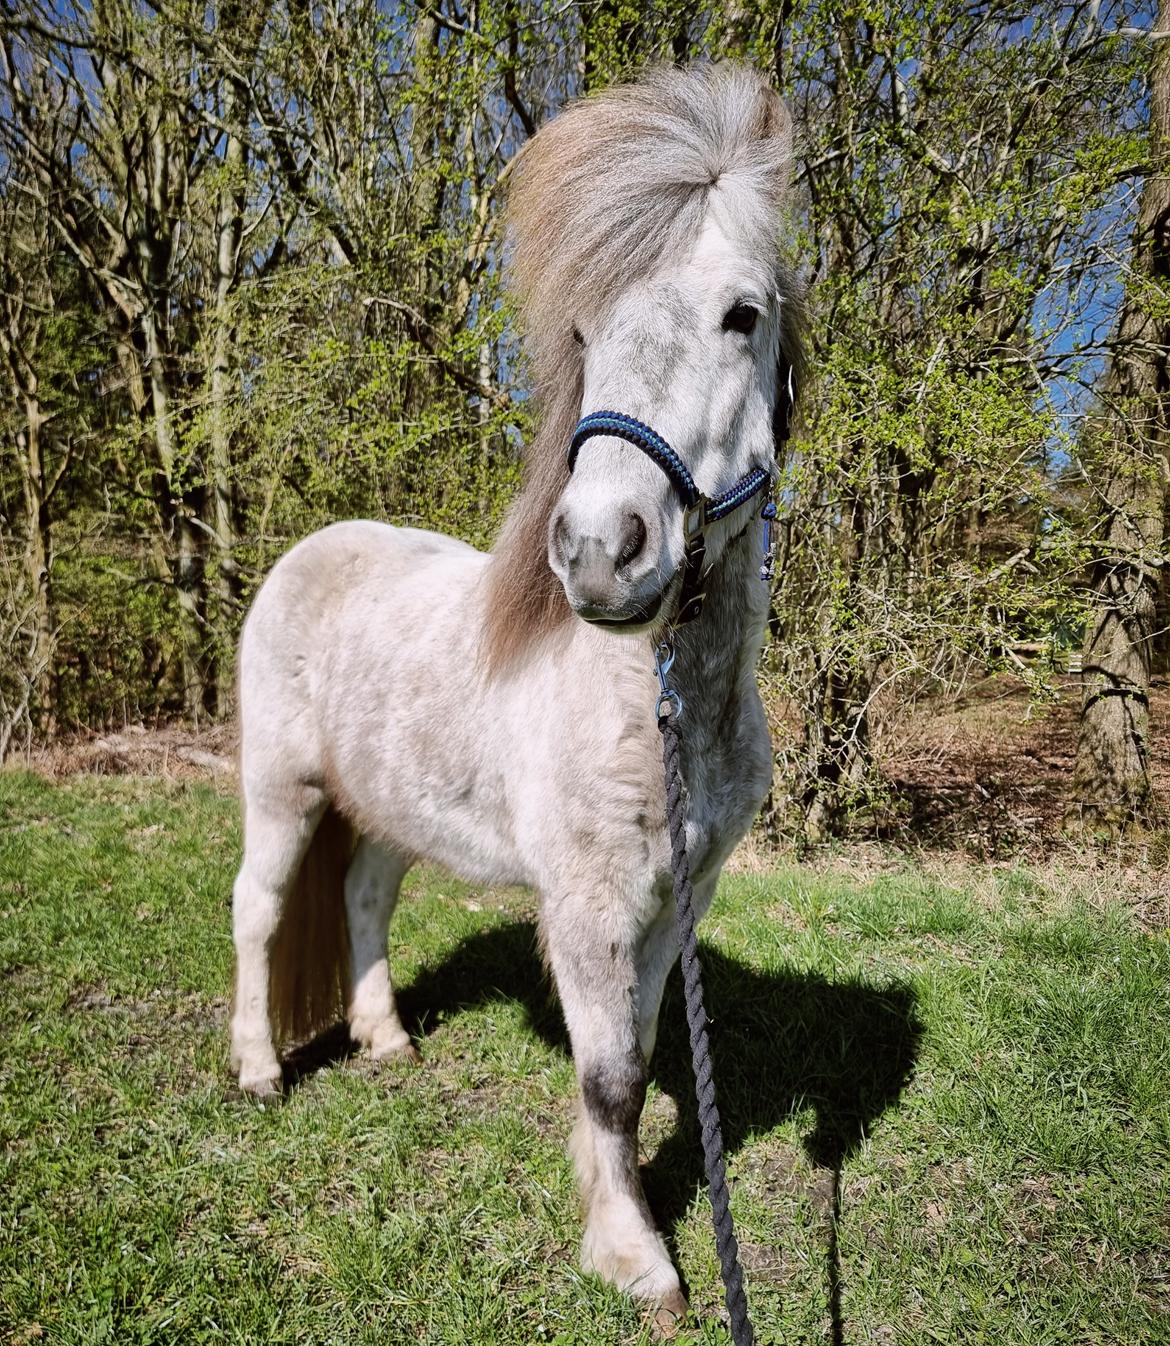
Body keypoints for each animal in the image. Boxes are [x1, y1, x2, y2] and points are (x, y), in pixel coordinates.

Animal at [231, 65, 802, 1324]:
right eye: (584, 329)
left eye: (743, 314)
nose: (598, 548)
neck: (658, 706)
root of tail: (310, 550)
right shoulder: (589, 908)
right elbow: (613, 1075)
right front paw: (634, 1252)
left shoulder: (677, 900)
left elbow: (636, 1051)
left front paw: (615, 1208)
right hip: (283, 791)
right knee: (258, 907)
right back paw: (255, 1069)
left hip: (387, 808)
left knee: (363, 899)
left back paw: (386, 1040)